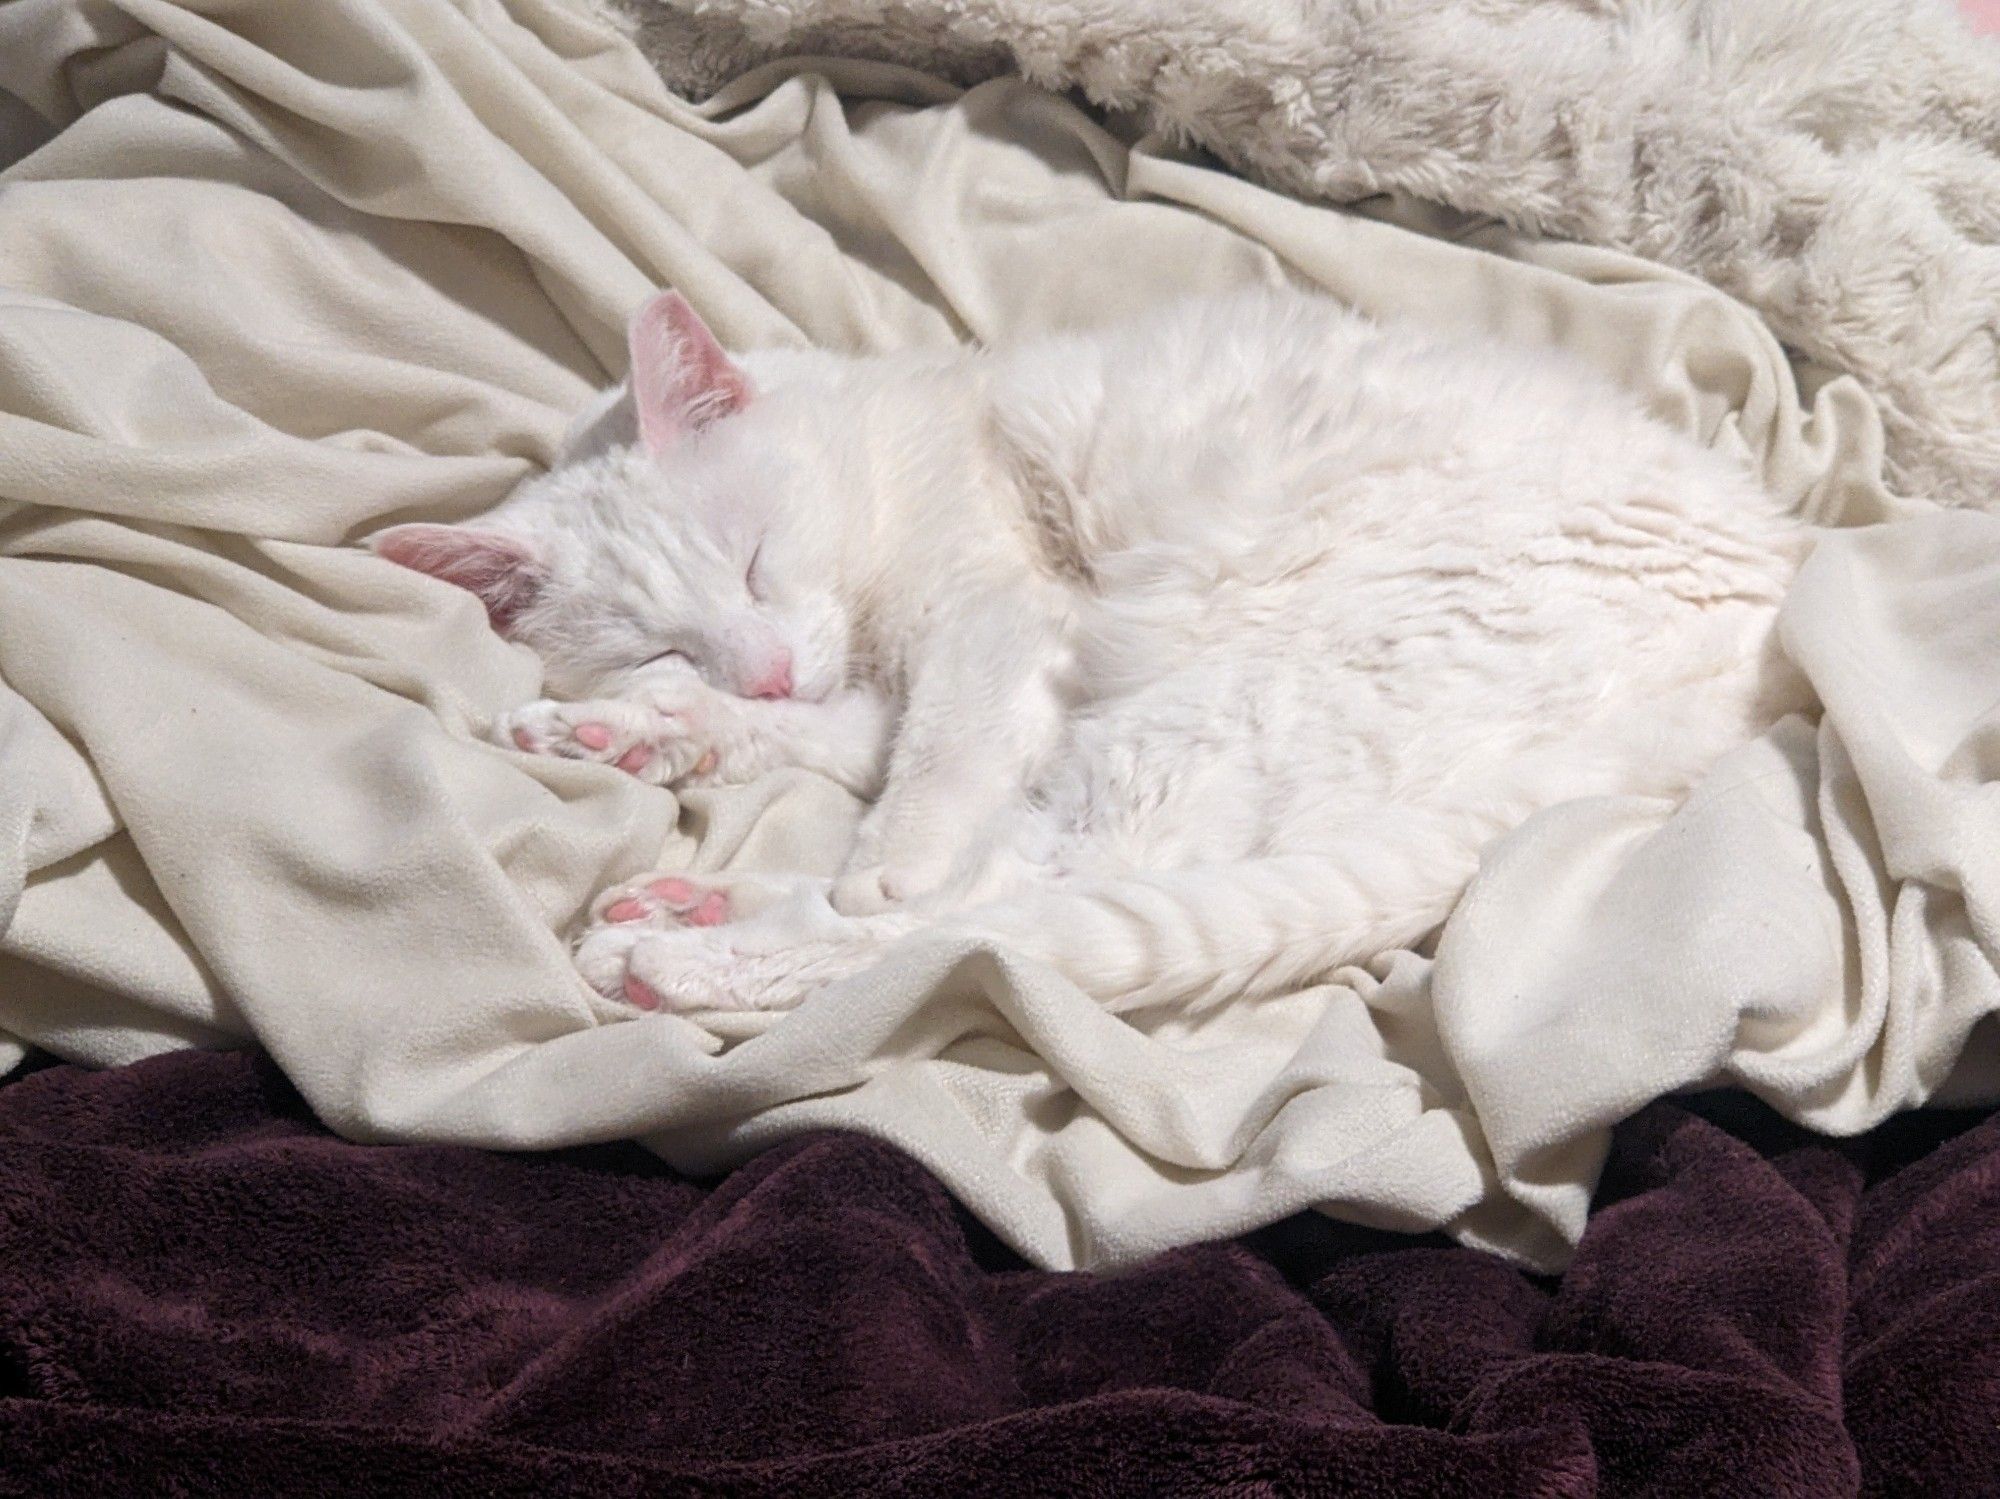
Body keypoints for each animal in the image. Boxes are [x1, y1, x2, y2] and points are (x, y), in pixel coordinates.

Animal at [376, 289, 1816, 1023]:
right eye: (656, 635)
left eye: (752, 559)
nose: (767, 662)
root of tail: (1743, 693)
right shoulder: (925, 673)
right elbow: (837, 738)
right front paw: (628, 727)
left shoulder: (1005, 618)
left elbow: (933, 763)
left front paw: (876, 847)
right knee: (1015, 898)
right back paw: (691, 906)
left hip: (1225, 709)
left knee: (999, 915)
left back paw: (688, 950)